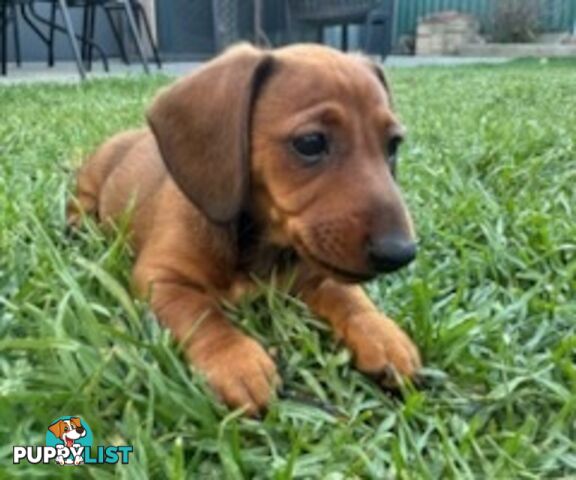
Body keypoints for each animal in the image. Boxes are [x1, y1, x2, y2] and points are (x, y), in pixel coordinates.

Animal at [68, 43, 424, 414]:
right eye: (310, 142)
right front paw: (235, 361)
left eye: (392, 145)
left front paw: (381, 334)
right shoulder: (160, 279)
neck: (258, 243)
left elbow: (349, 296)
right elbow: (200, 314)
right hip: (90, 183)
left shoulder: (316, 272)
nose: (401, 252)